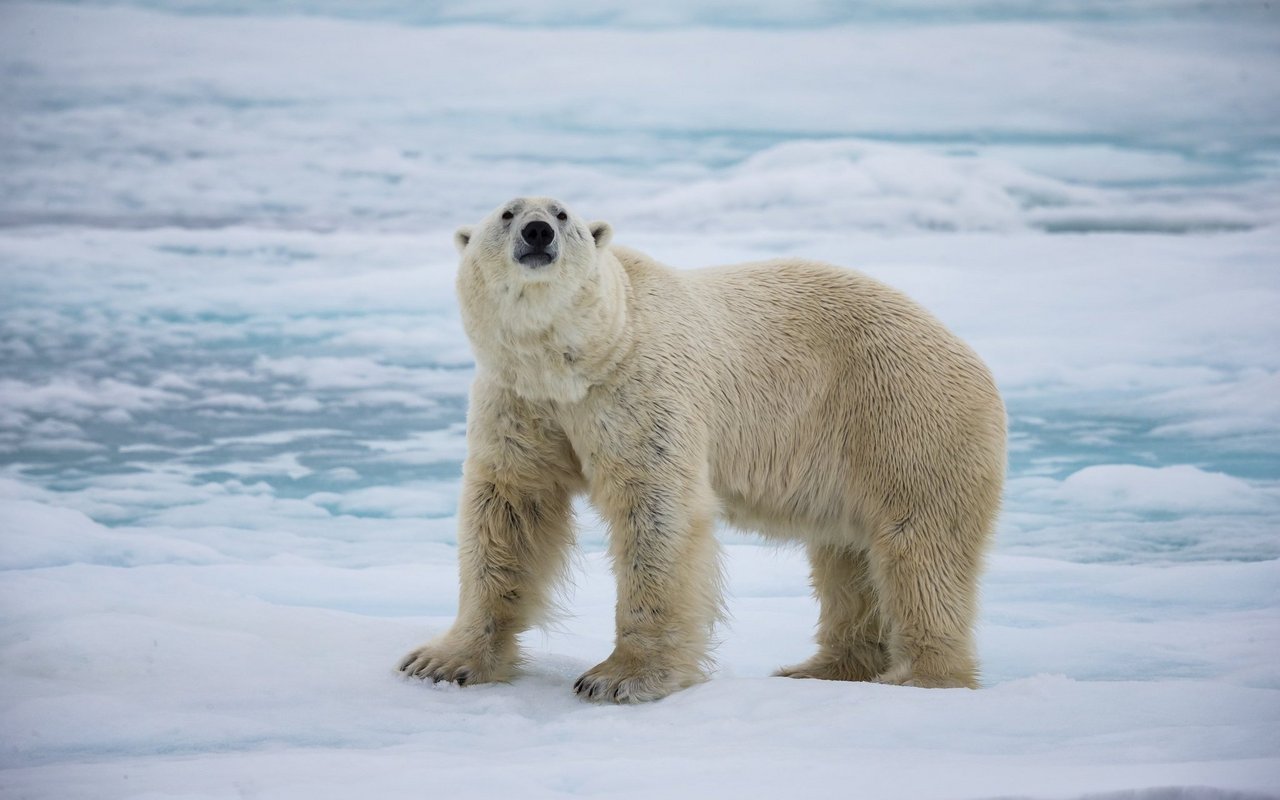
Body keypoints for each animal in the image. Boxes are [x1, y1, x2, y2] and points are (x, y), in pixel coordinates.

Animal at [394, 197, 1003, 701]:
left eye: (563, 214)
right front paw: (442, 661)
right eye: (507, 213)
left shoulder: (641, 386)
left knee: (920, 547)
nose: (538, 232)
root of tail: (968, 353)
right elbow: (510, 509)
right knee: (846, 557)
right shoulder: (519, 400)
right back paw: (823, 668)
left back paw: (920, 677)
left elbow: (656, 510)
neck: (582, 357)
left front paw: (619, 678)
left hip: (902, 413)